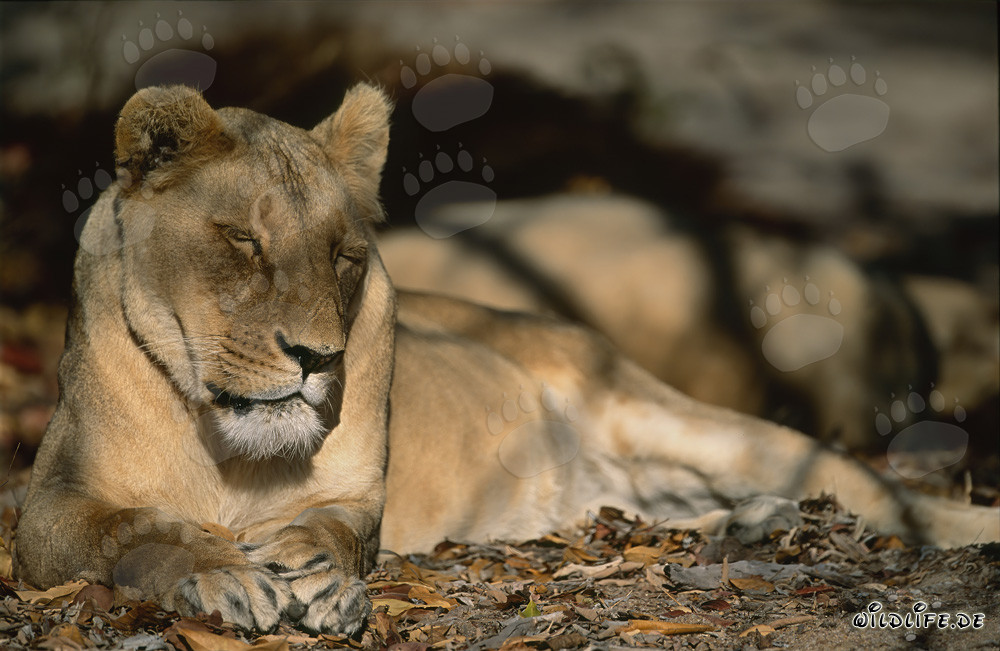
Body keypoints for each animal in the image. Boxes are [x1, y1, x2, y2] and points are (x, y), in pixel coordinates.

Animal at [13, 84, 999, 636]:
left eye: (343, 254)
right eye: (244, 243)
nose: (318, 356)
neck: (227, 441)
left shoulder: (359, 493)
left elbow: (337, 530)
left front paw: (315, 573)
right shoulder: (47, 509)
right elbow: (136, 530)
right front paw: (220, 571)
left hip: (673, 413)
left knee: (882, 493)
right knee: (664, 506)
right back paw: (748, 523)